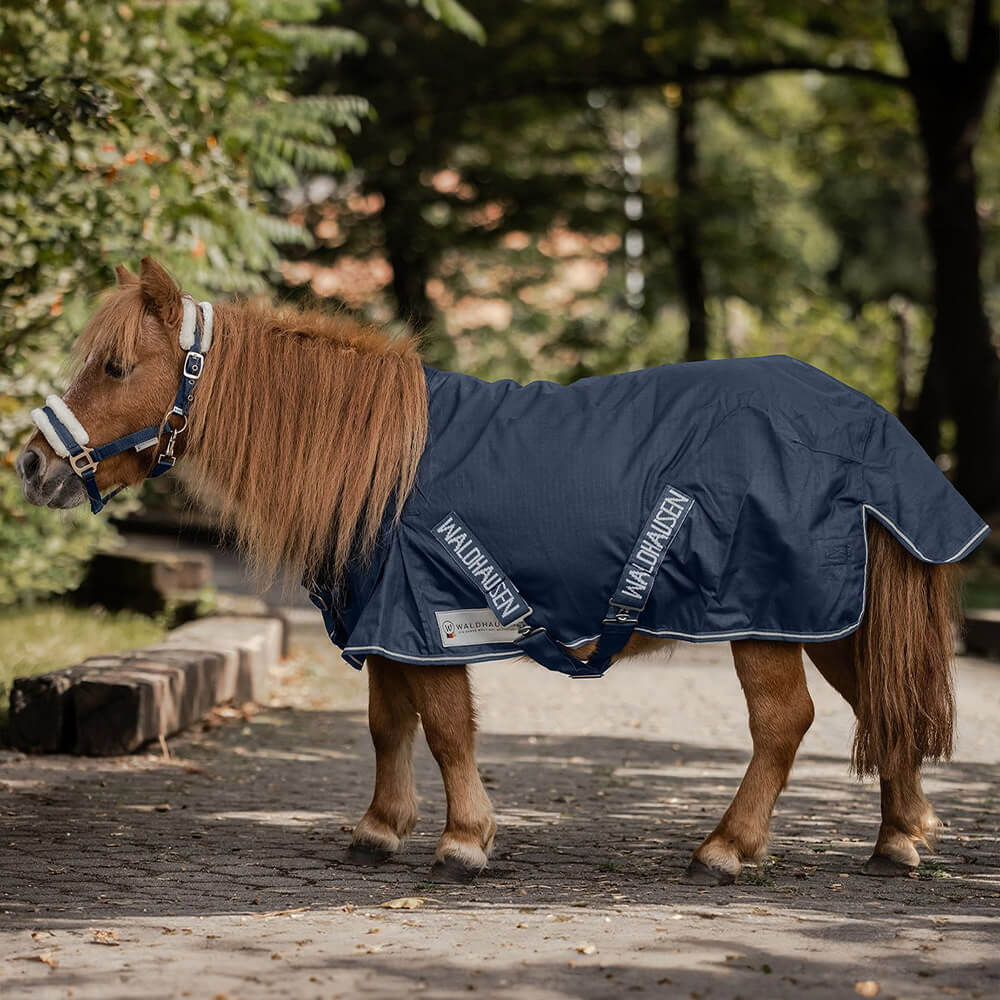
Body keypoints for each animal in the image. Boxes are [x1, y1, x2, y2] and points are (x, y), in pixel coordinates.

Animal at [16, 257, 982, 886]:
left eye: (116, 365)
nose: (31, 464)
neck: (382, 463)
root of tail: (866, 424)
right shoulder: (389, 625)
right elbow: (388, 725)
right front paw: (380, 829)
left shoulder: (434, 621)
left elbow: (447, 729)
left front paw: (464, 840)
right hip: (826, 617)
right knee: (882, 705)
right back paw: (899, 839)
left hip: (762, 618)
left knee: (786, 723)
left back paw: (728, 847)